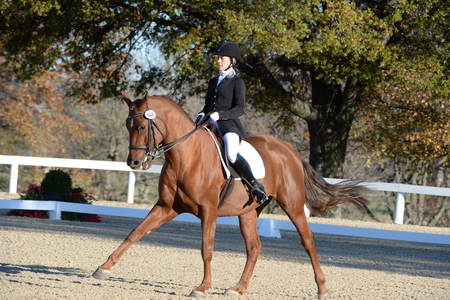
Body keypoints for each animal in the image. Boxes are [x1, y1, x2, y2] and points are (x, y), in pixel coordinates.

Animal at [92, 92, 372, 298]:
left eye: (141, 125)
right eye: (127, 125)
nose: (134, 163)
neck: (186, 156)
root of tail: (288, 149)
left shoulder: (208, 210)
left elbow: (206, 247)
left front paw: (202, 287)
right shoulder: (166, 207)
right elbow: (135, 232)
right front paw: (103, 268)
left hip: (292, 205)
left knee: (308, 241)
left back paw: (323, 289)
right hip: (248, 212)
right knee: (254, 247)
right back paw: (238, 288)